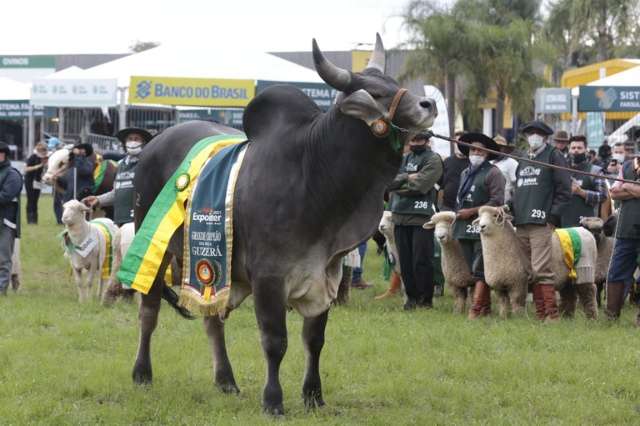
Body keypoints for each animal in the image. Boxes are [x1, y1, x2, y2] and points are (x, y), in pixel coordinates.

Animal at [132, 35, 438, 414]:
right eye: (376, 93)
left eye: (395, 84)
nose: (428, 104)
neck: (313, 173)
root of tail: (154, 142)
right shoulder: (269, 277)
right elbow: (275, 341)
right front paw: (273, 400)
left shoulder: (326, 273)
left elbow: (314, 340)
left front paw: (313, 395)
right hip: (155, 249)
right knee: (149, 311)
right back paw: (142, 373)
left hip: (211, 263)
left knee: (212, 320)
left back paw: (226, 380)